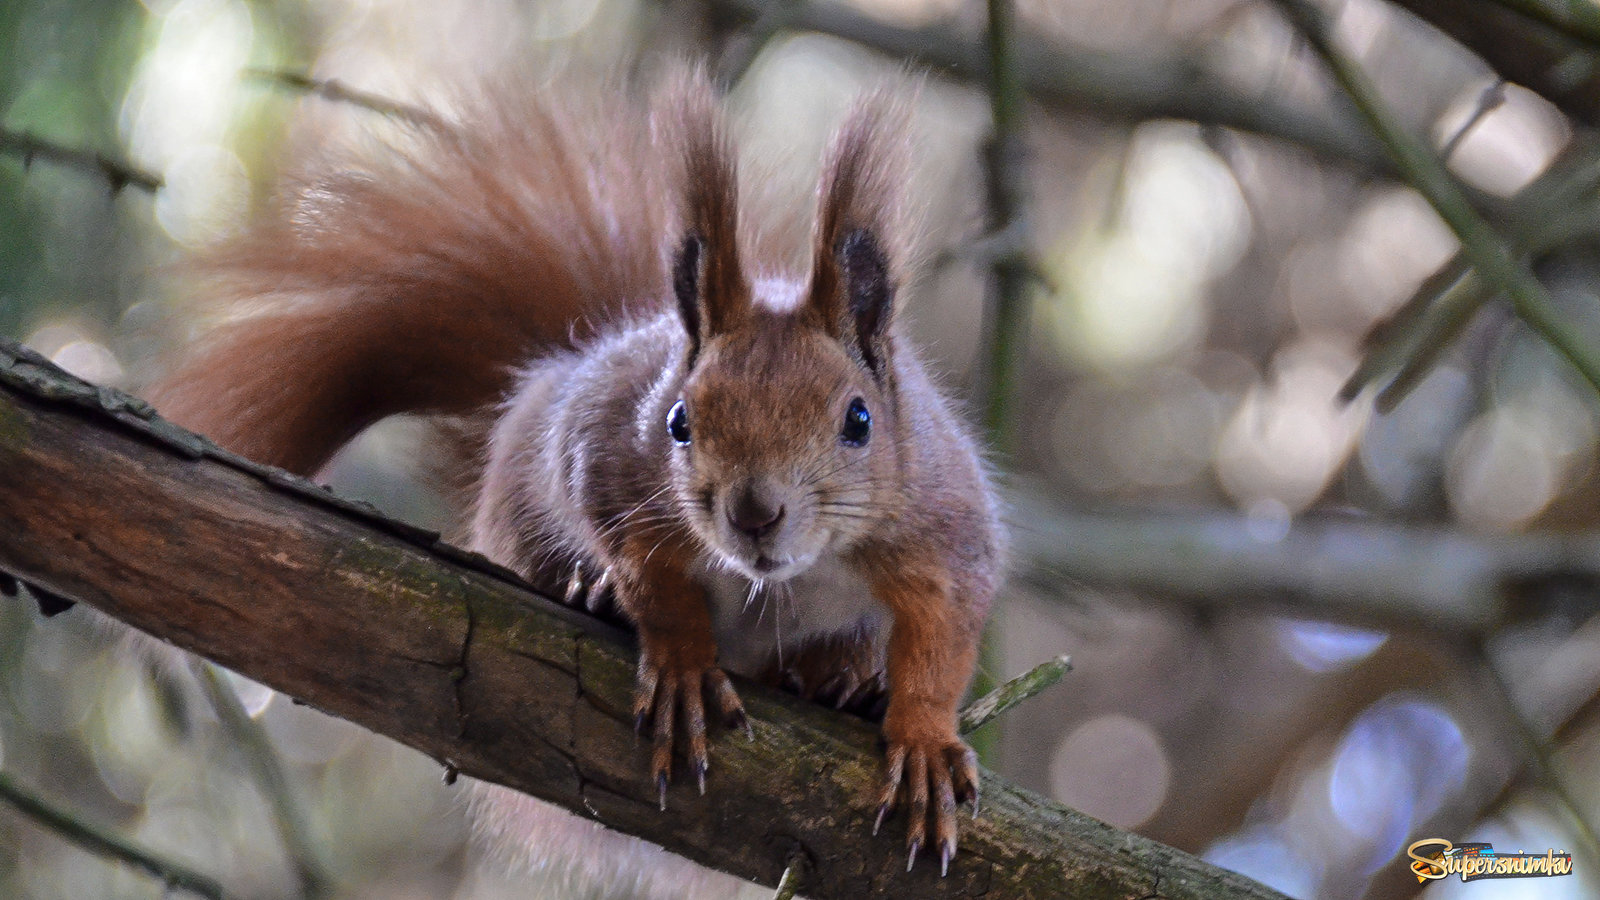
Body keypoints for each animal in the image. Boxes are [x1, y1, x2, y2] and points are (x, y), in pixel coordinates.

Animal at [150, 66, 998, 877]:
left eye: (859, 420)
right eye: (678, 422)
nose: (754, 514)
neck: (785, 579)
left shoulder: (944, 528)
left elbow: (945, 635)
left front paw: (923, 737)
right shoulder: (608, 462)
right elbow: (649, 572)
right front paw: (681, 659)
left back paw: (844, 678)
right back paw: (590, 591)